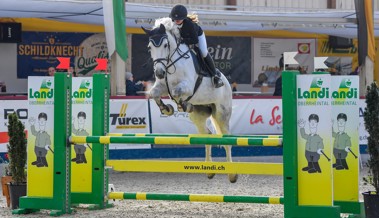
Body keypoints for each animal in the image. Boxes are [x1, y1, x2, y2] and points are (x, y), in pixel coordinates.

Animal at [142, 17, 238, 183]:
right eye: (150, 47)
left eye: (165, 45)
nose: (159, 73)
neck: (171, 63)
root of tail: (227, 84)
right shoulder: (162, 86)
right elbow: (154, 93)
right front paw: (167, 109)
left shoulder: (187, 86)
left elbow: (176, 92)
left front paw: (181, 105)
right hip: (199, 114)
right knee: (207, 135)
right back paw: (209, 171)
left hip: (222, 114)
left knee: (227, 141)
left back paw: (232, 175)